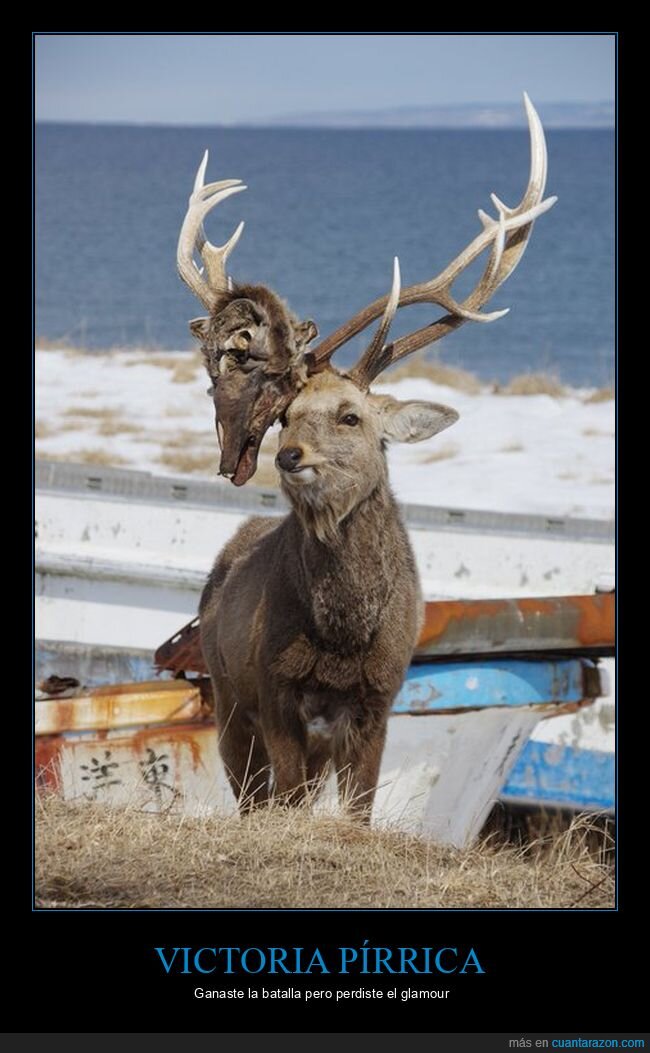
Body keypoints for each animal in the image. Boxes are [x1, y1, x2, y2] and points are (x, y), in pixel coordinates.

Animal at [177, 93, 556, 820]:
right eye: (285, 416)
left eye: (351, 416)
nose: (290, 457)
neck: (343, 642)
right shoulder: (273, 691)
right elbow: (287, 802)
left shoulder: (381, 701)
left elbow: (360, 809)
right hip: (226, 692)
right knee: (251, 792)